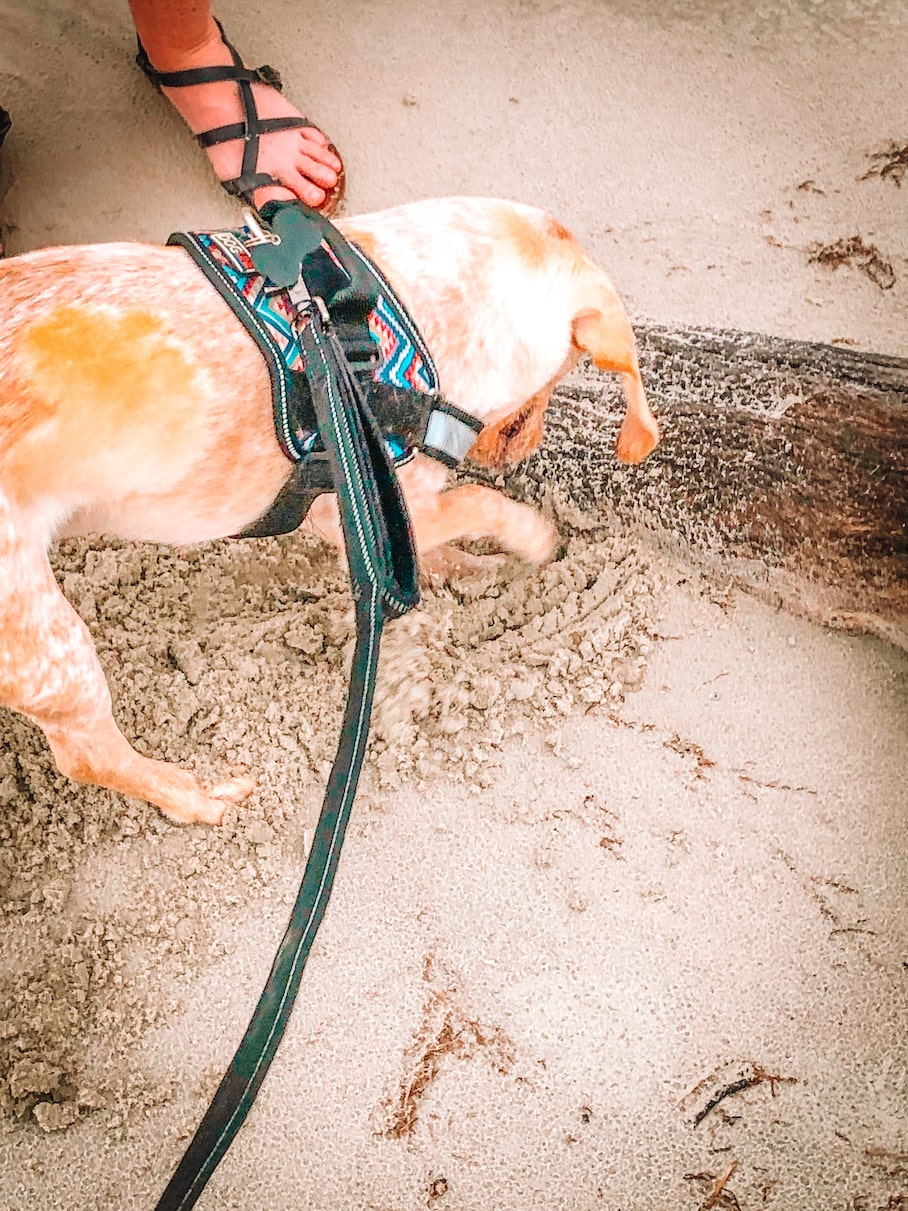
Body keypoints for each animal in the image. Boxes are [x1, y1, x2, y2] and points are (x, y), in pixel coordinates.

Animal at [0, 198, 658, 828]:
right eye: (559, 375)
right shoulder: (370, 504)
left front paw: (467, 572)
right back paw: (198, 799)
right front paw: (535, 540)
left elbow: (432, 553)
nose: (518, 451)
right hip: (49, 647)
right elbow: (478, 504)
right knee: (86, 754)